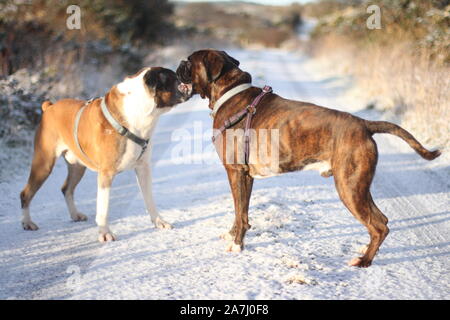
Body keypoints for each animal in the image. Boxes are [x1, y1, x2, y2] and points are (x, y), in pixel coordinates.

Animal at [19, 68, 192, 242]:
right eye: (175, 79)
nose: (188, 82)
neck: (138, 109)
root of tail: (49, 107)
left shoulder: (143, 169)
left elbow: (149, 199)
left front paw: (159, 222)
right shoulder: (106, 174)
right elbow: (103, 207)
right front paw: (105, 233)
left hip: (77, 167)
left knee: (66, 189)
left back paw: (75, 214)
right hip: (44, 164)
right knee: (26, 193)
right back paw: (27, 223)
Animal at [176, 48, 440, 266]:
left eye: (189, 62)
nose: (178, 65)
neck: (229, 91)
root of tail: (364, 124)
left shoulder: (235, 172)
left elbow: (240, 213)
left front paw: (237, 245)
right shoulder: (245, 177)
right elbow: (241, 210)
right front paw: (233, 236)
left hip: (349, 187)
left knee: (378, 226)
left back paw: (363, 261)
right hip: (358, 187)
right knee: (382, 220)